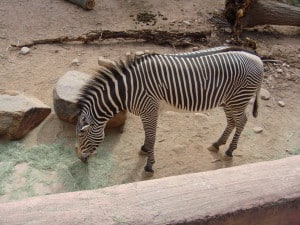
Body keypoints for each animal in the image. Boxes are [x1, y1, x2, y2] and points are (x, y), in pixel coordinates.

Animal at [75, 45, 262, 172]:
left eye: (81, 134)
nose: (79, 157)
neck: (127, 90)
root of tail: (257, 58)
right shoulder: (146, 112)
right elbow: (147, 134)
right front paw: (145, 149)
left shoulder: (149, 109)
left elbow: (152, 137)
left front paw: (149, 165)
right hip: (229, 101)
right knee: (232, 122)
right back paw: (217, 144)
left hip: (238, 99)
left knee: (242, 121)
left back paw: (230, 150)